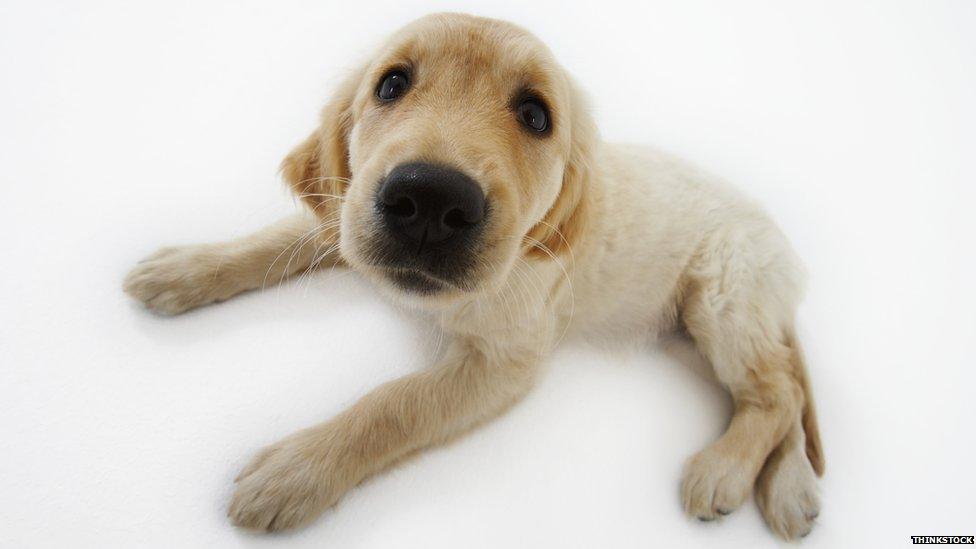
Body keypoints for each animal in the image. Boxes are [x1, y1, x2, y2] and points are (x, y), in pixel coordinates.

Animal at [122, 12, 824, 540]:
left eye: (536, 115)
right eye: (391, 84)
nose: (431, 200)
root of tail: (778, 240)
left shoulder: (505, 362)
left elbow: (396, 404)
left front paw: (297, 470)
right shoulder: (348, 214)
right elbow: (280, 237)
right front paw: (186, 267)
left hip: (725, 295)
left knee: (778, 391)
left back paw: (728, 471)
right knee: (787, 387)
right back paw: (794, 488)